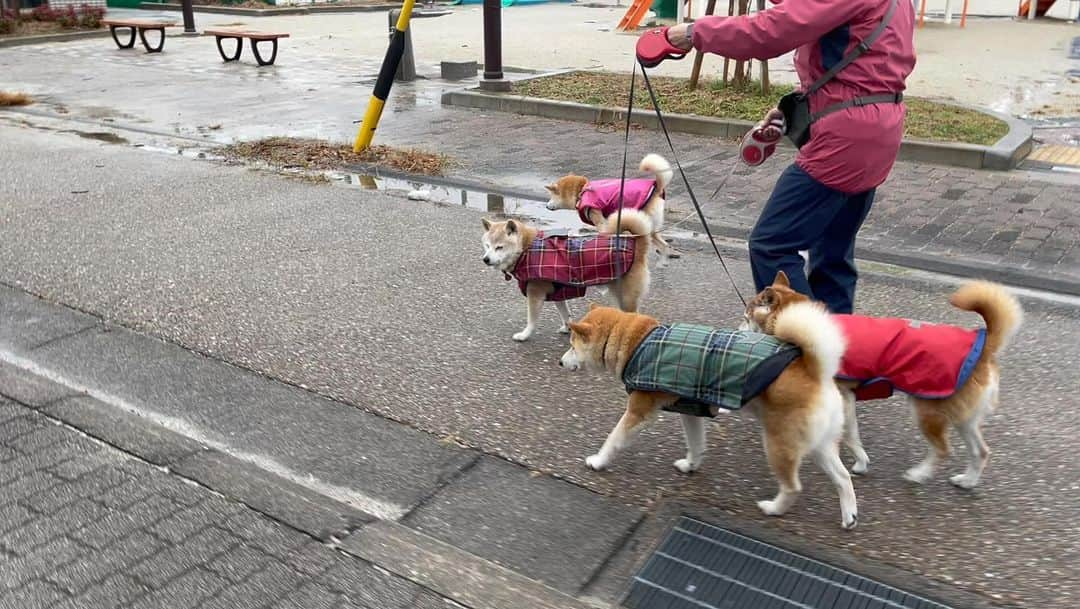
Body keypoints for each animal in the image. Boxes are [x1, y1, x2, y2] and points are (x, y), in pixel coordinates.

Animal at [481, 209, 648, 343]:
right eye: (487, 245)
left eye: (499, 247)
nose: (485, 259)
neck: (526, 249)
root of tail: (637, 243)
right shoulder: (558, 293)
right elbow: (565, 314)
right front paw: (568, 328)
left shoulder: (535, 294)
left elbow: (532, 320)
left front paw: (524, 335)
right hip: (616, 292)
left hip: (625, 296)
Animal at [557, 302, 859, 529]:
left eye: (572, 345)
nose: (560, 362)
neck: (639, 342)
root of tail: (815, 370)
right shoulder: (690, 411)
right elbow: (696, 444)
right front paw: (691, 465)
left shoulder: (638, 411)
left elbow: (613, 439)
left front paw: (598, 461)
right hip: (818, 444)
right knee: (843, 478)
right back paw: (849, 516)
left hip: (779, 444)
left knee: (794, 486)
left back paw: (774, 508)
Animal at [743, 273, 1019, 492]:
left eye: (746, 317)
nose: (738, 326)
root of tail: (984, 345)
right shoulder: (847, 399)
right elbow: (852, 434)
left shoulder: (844, 397)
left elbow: (851, 435)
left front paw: (860, 461)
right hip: (962, 416)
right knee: (981, 451)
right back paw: (968, 481)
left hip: (926, 409)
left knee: (943, 449)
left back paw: (919, 474)